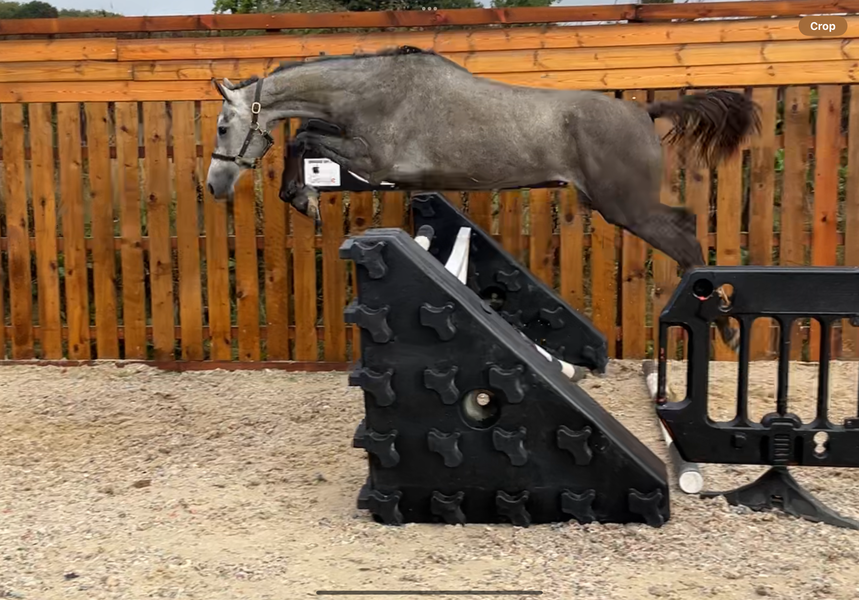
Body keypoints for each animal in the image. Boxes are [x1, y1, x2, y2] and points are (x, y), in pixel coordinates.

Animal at [204, 46, 761, 353]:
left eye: (223, 125)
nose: (214, 185)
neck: (374, 92)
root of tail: (644, 112)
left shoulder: (376, 161)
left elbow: (302, 137)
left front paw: (302, 198)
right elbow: (305, 134)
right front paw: (304, 197)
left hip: (627, 208)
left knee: (685, 232)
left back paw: (724, 327)